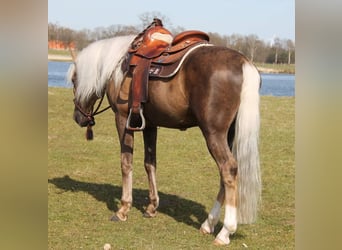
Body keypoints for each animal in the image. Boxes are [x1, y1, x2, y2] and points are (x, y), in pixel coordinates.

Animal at [67, 32, 260, 245]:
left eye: (74, 81)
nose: (78, 117)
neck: (117, 66)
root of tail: (243, 62)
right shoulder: (150, 125)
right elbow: (150, 164)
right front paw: (152, 207)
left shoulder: (122, 119)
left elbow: (126, 163)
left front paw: (123, 209)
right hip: (229, 135)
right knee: (227, 173)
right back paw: (208, 224)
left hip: (213, 133)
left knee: (227, 168)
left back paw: (225, 232)